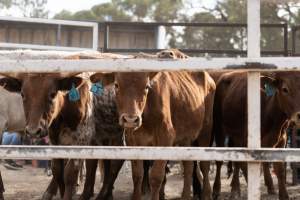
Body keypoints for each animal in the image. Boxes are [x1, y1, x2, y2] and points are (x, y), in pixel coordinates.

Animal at [89, 60, 216, 199]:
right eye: (116, 85)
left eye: (146, 87)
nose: (131, 119)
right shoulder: (132, 140)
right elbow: (137, 175)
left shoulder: (165, 139)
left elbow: (156, 177)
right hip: (186, 138)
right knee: (188, 166)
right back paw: (186, 196)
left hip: (206, 130)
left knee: (204, 164)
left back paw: (207, 194)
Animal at [213, 71, 298, 199]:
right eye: (285, 89)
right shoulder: (247, 141)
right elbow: (247, 168)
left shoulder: (281, 141)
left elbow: (279, 169)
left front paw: (284, 195)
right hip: (219, 128)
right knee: (220, 162)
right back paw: (217, 189)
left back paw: (236, 189)